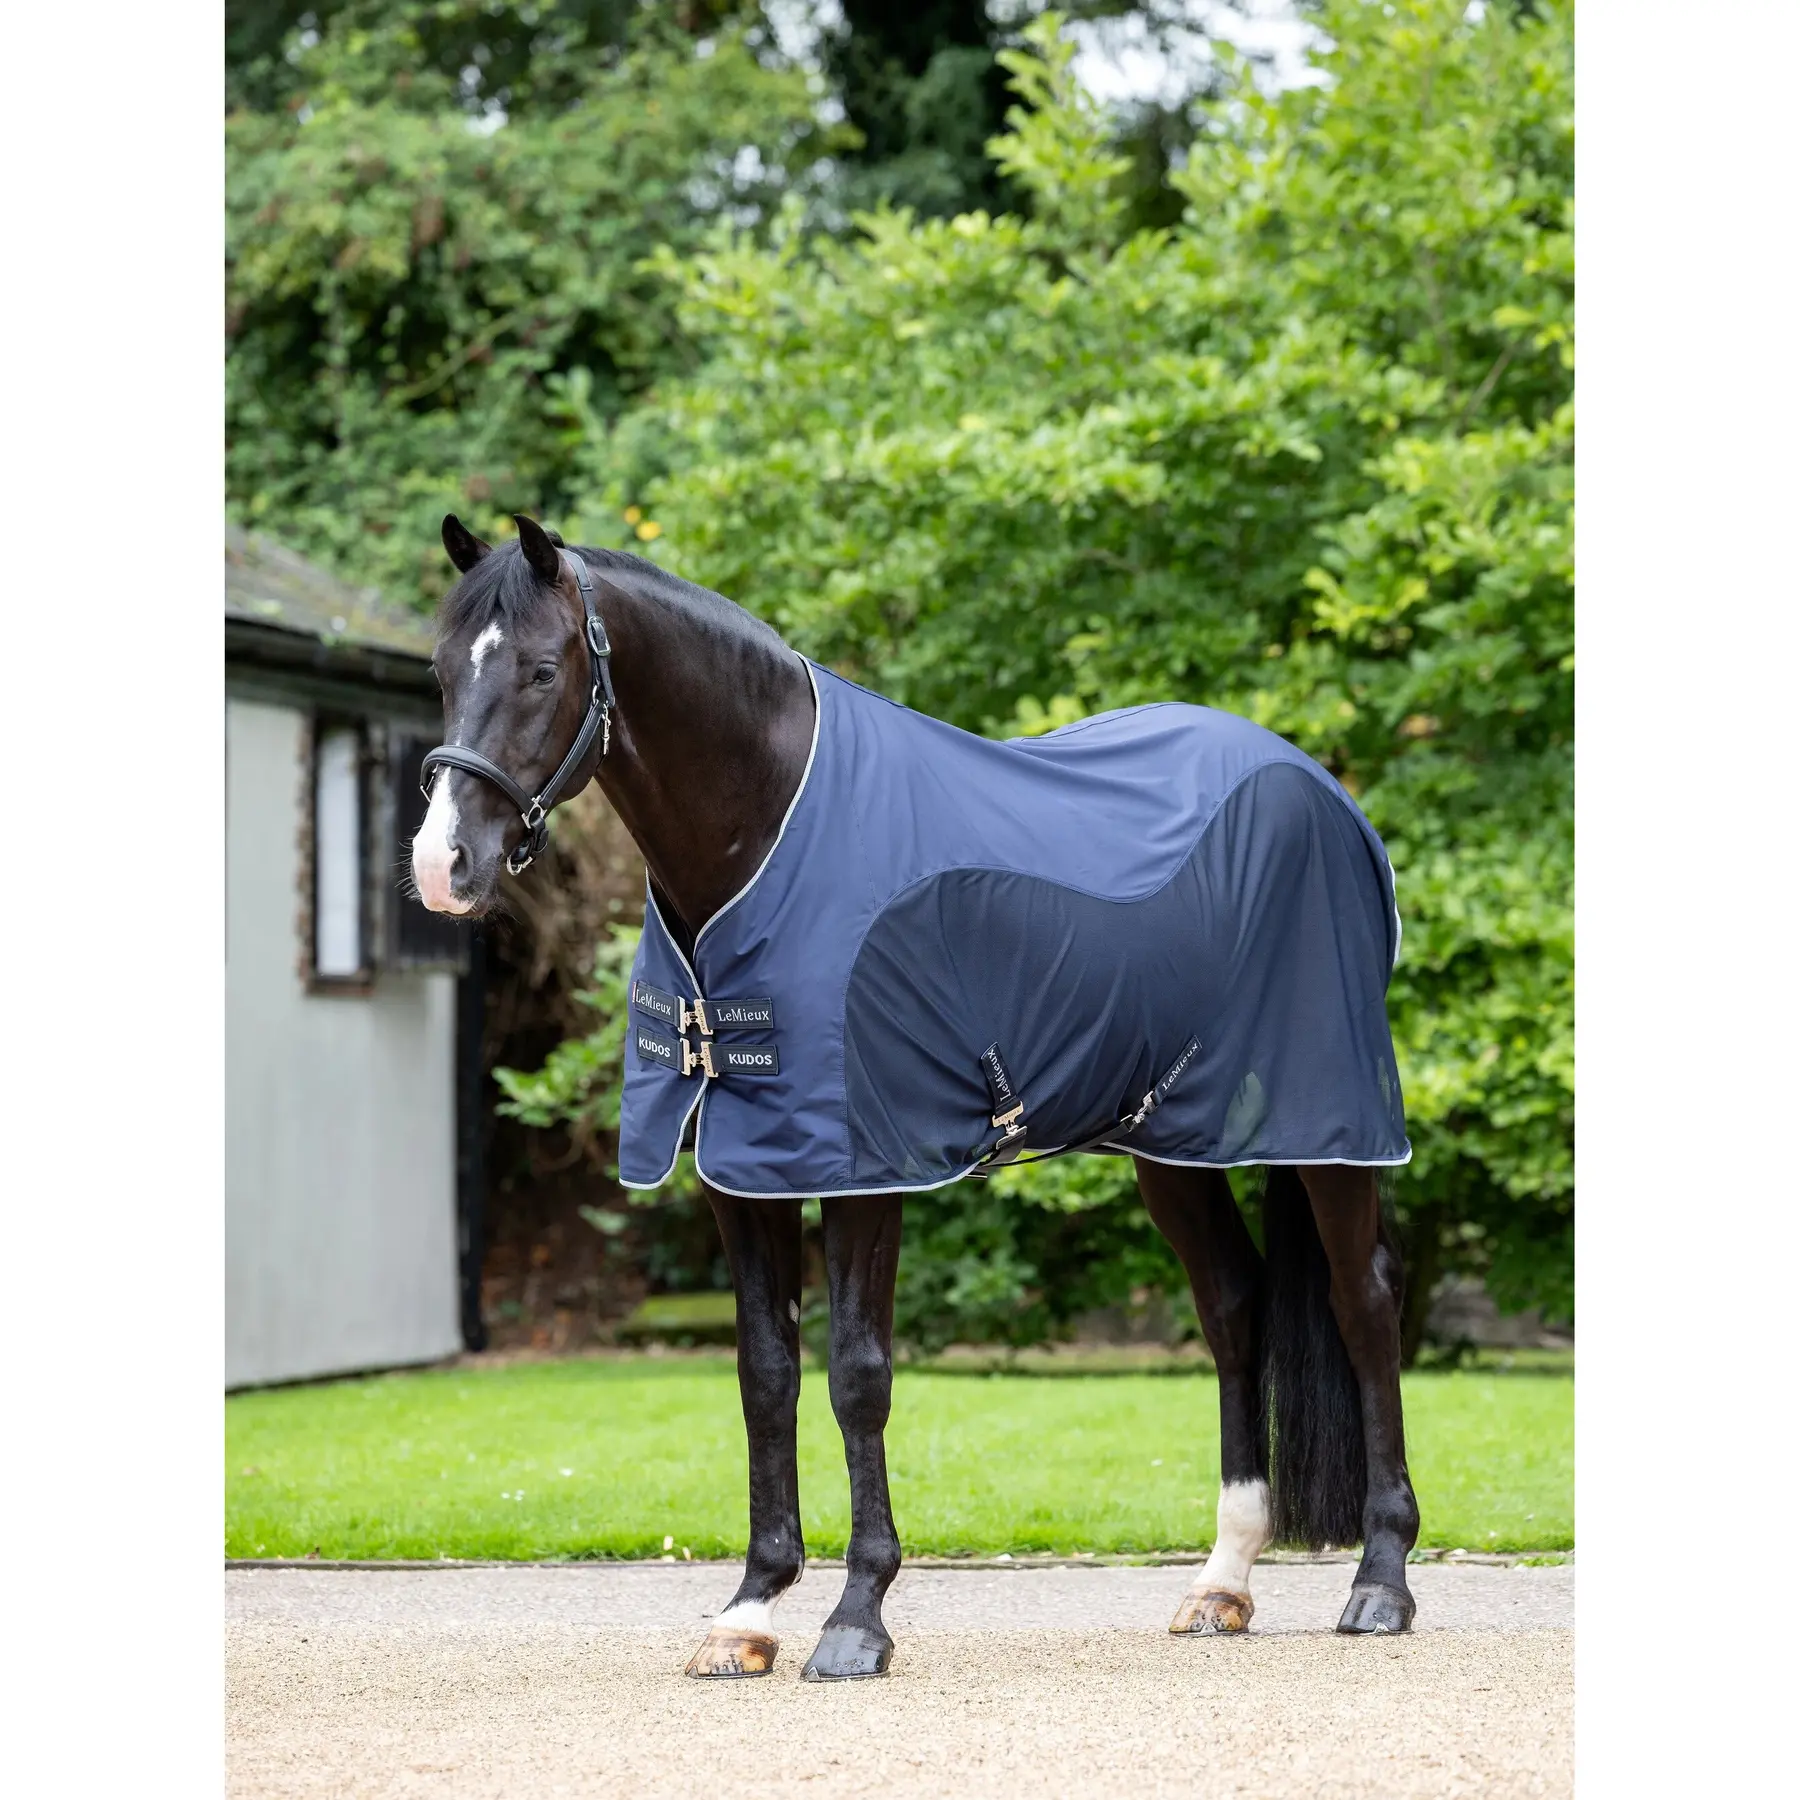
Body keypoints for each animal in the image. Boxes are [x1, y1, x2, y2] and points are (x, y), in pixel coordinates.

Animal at [411, 513, 1421, 1678]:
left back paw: (1381, 1578)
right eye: (442, 670)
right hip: (1172, 1141)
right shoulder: (742, 1173)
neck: (769, 830)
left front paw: (857, 1617)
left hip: (1328, 1124)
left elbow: (857, 1376)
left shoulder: (861, 1168)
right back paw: (1223, 1580)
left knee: (1365, 1301)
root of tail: (1318, 786)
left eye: (541, 668)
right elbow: (766, 1375)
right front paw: (749, 1612)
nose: (444, 865)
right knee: (1235, 1305)